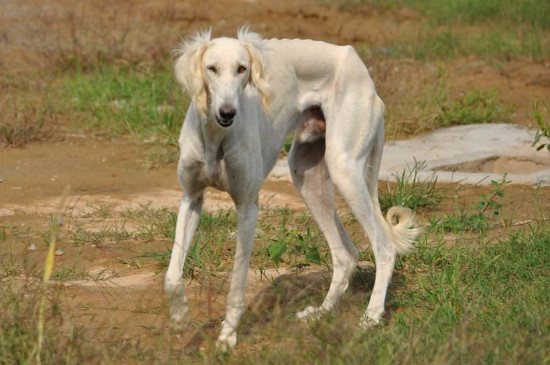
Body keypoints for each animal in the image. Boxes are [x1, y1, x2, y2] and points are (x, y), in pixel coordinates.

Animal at [164, 27, 422, 348]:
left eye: (242, 69)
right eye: (211, 68)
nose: (227, 113)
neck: (215, 136)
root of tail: (358, 64)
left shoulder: (247, 208)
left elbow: (237, 284)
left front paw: (227, 336)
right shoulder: (191, 196)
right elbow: (171, 274)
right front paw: (179, 318)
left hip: (344, 168)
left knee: (384, 246)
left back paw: (371, 317)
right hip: (305, 173)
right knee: (345, 254)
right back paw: (321, 312)